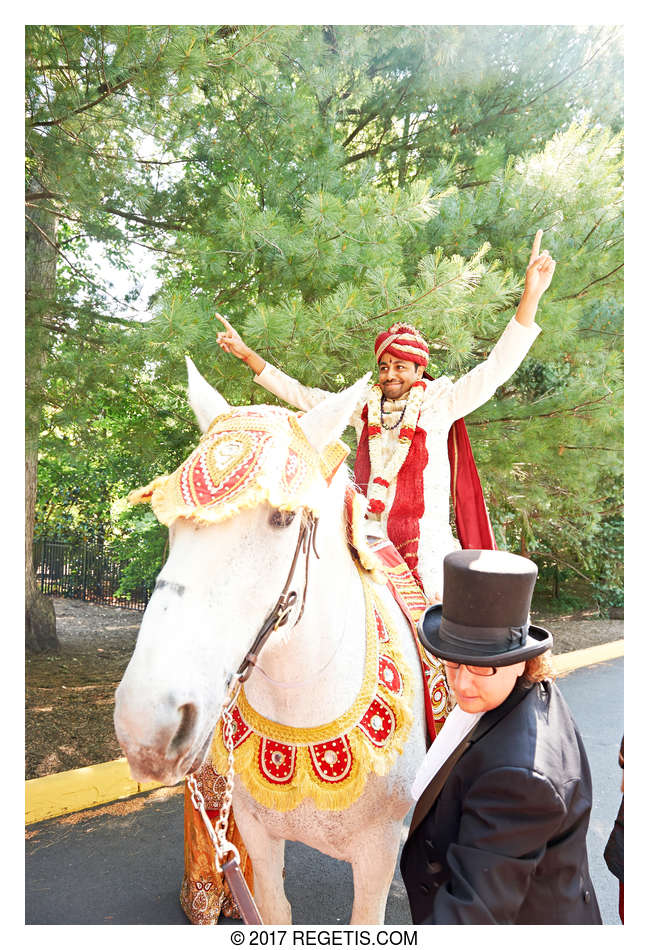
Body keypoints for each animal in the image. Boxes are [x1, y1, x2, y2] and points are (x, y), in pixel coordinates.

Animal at [114, 360, 432, 924]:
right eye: (172, 523)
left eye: (282, 517)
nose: (145, 726)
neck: (303, 703)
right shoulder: (257, 839)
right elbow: (274, 908)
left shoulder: (377, 854)